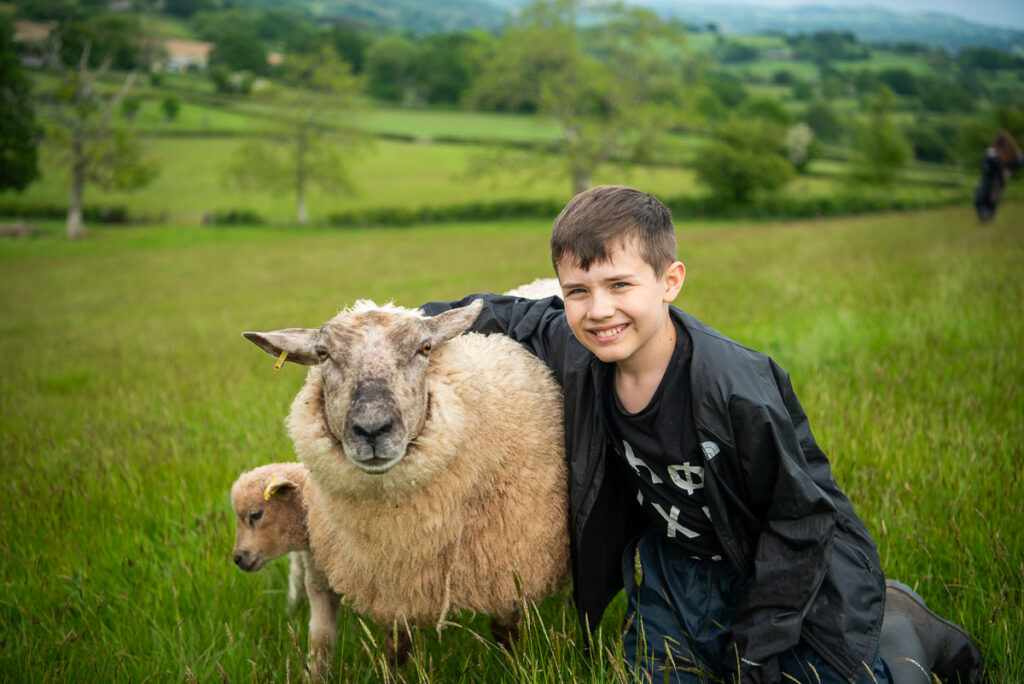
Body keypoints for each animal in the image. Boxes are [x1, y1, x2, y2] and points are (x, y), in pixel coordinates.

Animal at [230, 462, 341, 680]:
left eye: (255, 514)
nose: (237, 558)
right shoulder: (319, 583)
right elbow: (320, 640)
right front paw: (314, 676)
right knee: (296, 575)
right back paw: (291, 608)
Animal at [243, 298, 569, 662]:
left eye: (425, 348)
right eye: (323, 354)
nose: (372, 429)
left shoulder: (510, 569)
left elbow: (507, 637)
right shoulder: (394, 584)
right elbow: (397, 646)